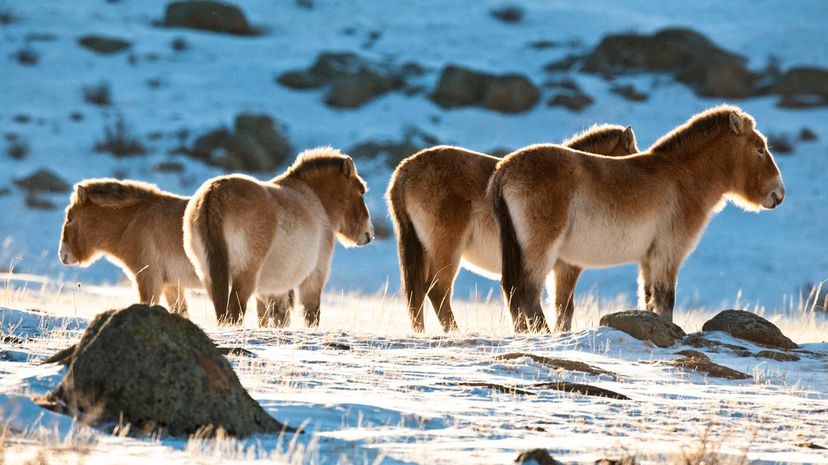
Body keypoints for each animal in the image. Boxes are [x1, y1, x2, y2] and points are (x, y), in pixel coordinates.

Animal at [185, 147, 376, 324]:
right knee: (234, 311)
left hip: (209, 276)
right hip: (245, 275)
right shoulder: (314, 276)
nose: (369, 234)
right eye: (362, 192)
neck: (316, 200)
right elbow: (311, 314)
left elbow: (276, 318)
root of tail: (214, 193)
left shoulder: (275, 289)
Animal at [384, 125, 636, 332]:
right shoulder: (567, 267)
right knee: (438, 291)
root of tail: (405, 170)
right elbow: (564, 308)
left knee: (417, 294)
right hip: (446, 250)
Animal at [488, 104, 784, 330]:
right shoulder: (667, 256)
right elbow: (665, 302)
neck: (682, 178)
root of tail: (503, 169)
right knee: (527, 293)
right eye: (760, 148)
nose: (778, 193)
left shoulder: (648, 260)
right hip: (540, 251)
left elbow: (649, 300)